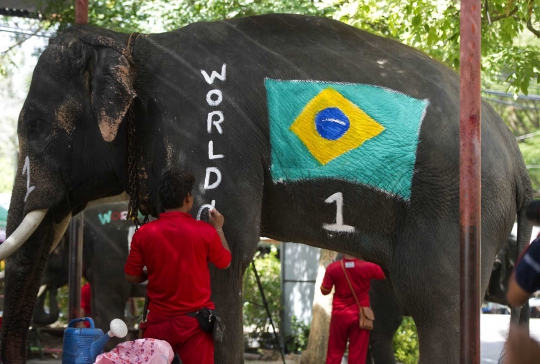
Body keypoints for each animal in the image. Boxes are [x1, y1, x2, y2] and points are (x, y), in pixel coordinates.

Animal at [0, 12, 532, 362]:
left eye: (34, 127)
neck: (138, 45)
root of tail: (515, 158)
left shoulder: (210, 133)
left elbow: (226, 248)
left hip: (456, 207)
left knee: (434, 302)